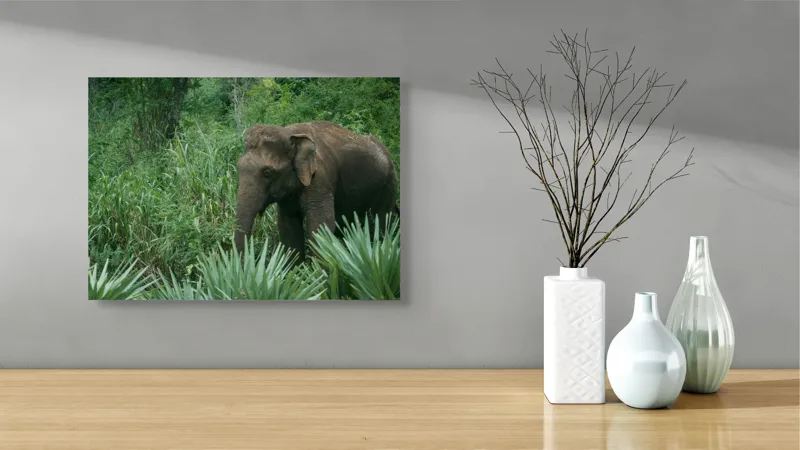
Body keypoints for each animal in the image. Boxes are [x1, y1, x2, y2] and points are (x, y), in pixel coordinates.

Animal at [234, 121, 399, 262]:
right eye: (238, 167)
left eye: (267, 173)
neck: (290, 133)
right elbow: (289, 229)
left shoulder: (319, 179)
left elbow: (321, 227)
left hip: (389, 184)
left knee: (381, 222)